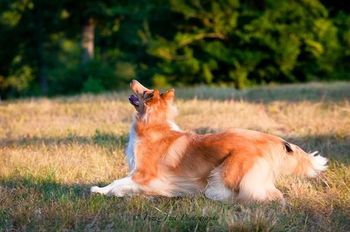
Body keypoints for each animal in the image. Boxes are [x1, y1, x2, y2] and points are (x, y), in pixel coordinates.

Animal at [91, 80, 328, 203]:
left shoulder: (144, 174)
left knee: (266, 194)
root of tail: (269, 138)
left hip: (228, 173)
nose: (132, 80)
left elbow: (118, 182)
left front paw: (99, 190)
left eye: (145, 91)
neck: (153, 125)